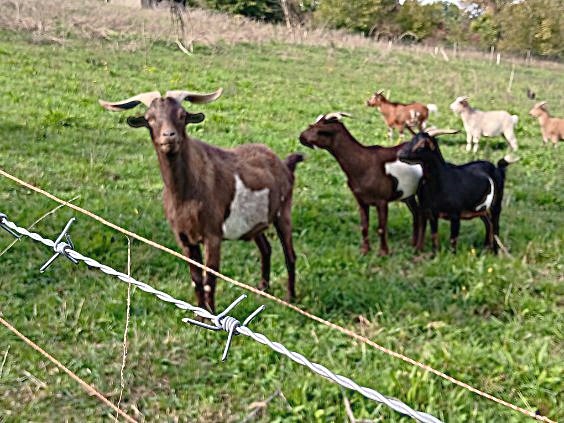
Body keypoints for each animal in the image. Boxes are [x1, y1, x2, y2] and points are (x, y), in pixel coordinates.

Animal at [99, 89, 303, 312]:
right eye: (149, 119)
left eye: (182, 115)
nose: (168, 136)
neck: (186, 193)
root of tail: (285, 164)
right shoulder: (184, 238)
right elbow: (196, 279)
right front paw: (199, 315)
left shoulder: (212, 235)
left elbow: (209, 279)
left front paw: (212, 316)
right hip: (254, 221)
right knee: (266, 248)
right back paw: (263, 288)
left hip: (283, 211)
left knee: (289, 254)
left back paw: (290, 298)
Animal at [299, 112, 423, 255]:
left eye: (320, 130)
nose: (301, 137)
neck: (363, 163)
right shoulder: (361, 200)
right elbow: (364, 226)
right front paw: (365, 251)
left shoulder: (382, 201)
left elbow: (381, 228)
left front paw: (383, 253)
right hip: (408, 195)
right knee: (416, 214)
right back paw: (413, 244)